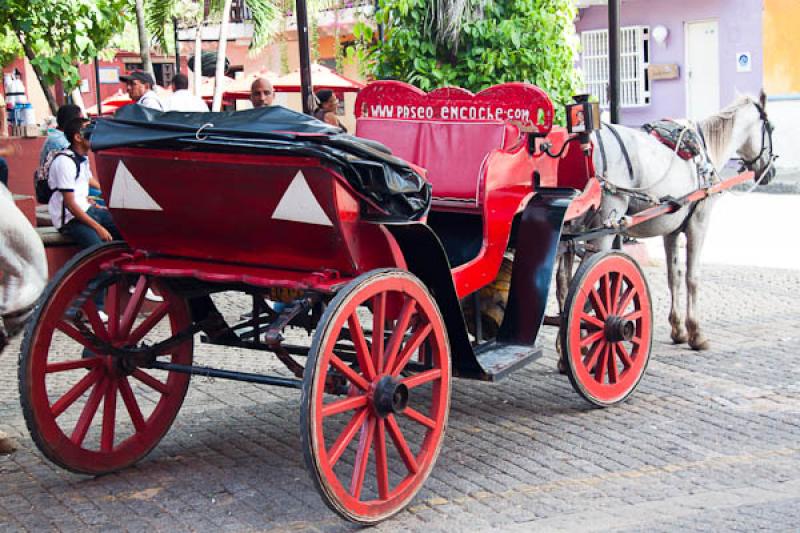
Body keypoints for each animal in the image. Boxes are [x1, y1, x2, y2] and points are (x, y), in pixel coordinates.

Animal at [556, 93, 776, 358]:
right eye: (771, 128)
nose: (770, 172)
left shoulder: (670, 230)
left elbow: (674, 276)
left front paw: (678, 329)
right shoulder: (698, 223)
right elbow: (692, 276)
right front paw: (696, 333)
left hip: (574, 227)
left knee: (563, 278)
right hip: (603, 226)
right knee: (588, 278)